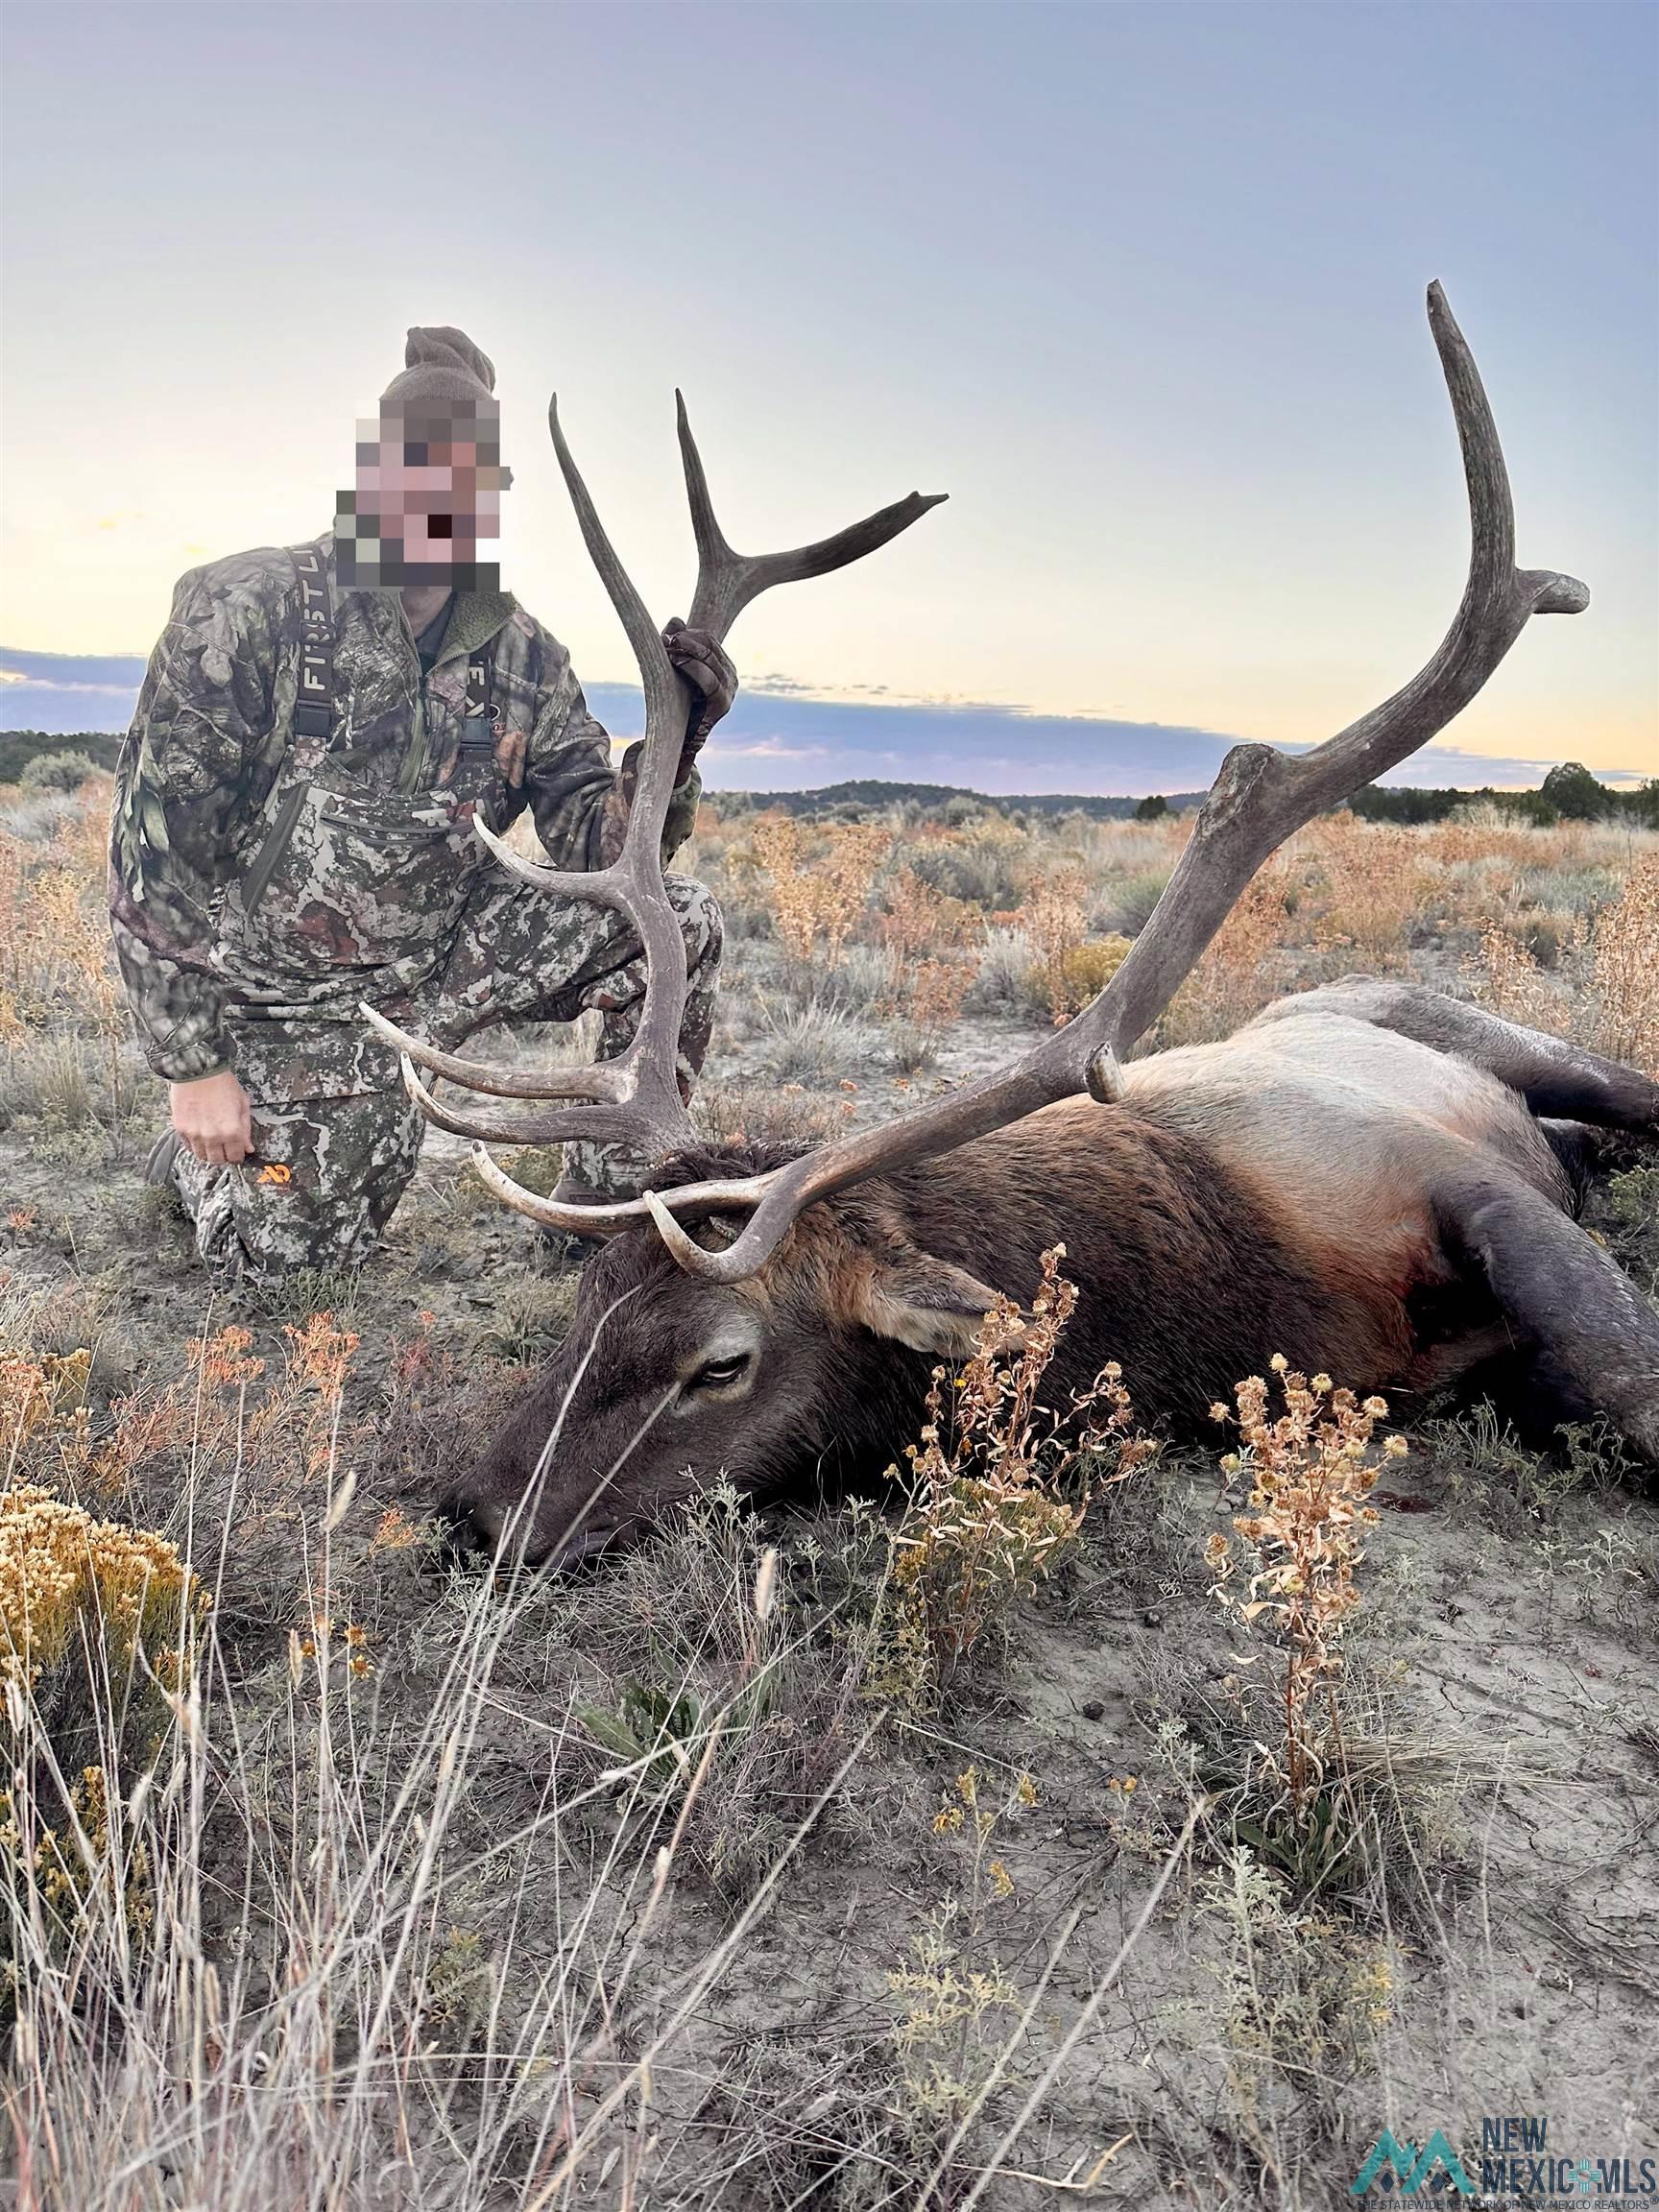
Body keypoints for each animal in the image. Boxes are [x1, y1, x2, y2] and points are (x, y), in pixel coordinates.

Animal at [367, 289, 1659, 1575]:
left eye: (720, 1362)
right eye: (586, 1304)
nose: (479, 1511)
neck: (1244, 1283)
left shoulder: (1428, 1169)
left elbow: (1621, 1378)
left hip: (1485, 1028)